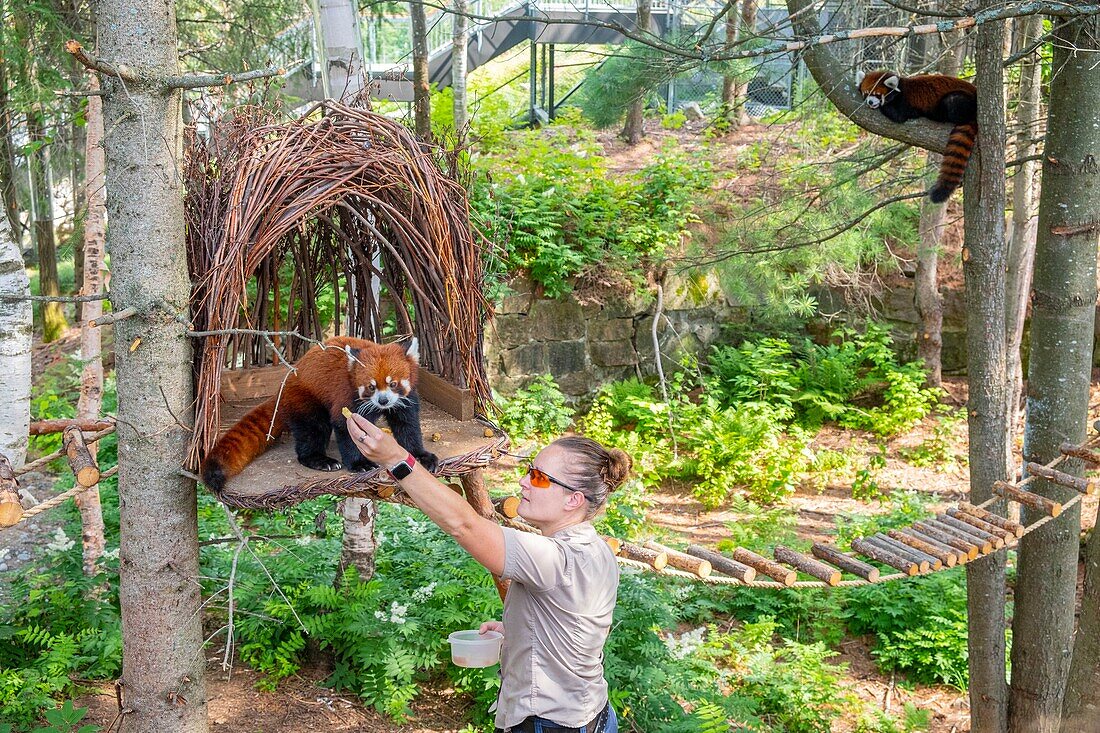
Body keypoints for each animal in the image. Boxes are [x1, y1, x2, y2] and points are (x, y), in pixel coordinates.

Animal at [202, 336, 437, 490]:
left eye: (393, 384)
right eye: (371, 386)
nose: (383, 400)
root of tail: (283, 388)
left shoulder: (405, 400)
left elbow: (407, 425)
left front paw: (419, 454)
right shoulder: (345, 396)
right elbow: (344, 427)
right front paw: (359, 463)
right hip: (305, 400)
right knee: (313, 430)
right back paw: (319, 459)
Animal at [853, 70, 976, 201]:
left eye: (877, 95)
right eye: (866, 94)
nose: (870, 102)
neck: (901, 87)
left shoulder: (904, 103)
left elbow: (898, 116)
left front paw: (883, 106)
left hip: (960, 101)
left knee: (952, 102)